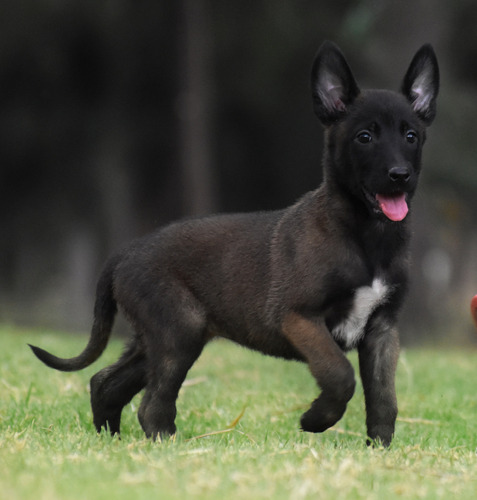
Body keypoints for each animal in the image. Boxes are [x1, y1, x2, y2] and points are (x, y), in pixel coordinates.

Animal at [30, 40, 438, 446]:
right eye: (364, 137)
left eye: (411, 136)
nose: (399, 175)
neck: (365, 236)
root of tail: (124, 253)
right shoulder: (299, 317)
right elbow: (340, 374)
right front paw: (316, 419)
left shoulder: (382, 331)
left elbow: (384, 397)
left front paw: (379, 448)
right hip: (179, 332)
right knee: (150, 404)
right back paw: (165, 442)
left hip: (156, 340)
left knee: (105, 382)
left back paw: (110, 439)